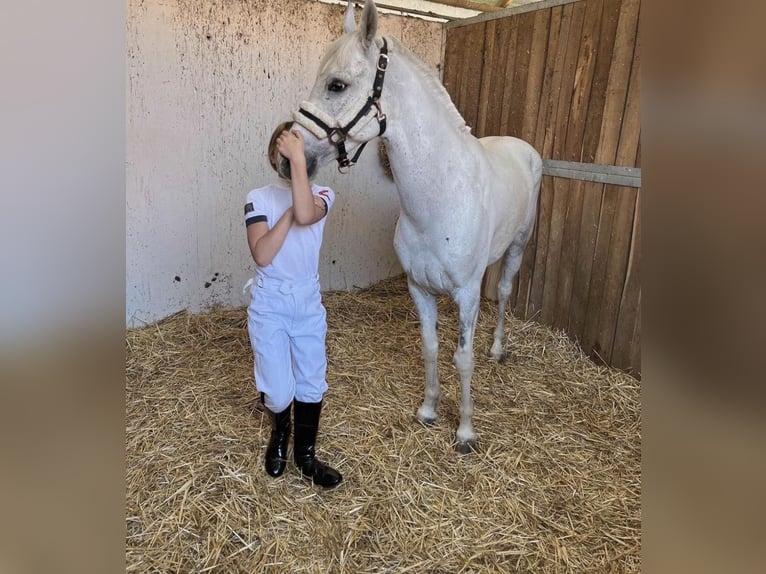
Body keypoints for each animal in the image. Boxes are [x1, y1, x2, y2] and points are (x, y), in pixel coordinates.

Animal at [286, 0, 542, 453]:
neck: (440, 200)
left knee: (505, 292)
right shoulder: (419, 289)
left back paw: (498, 349)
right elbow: (430, 347)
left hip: (518, 247)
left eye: (336, 85)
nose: (285, 159)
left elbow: (463, 358)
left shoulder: (466, 293)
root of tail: (522, 147)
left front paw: (465, 432)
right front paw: (428, 410)